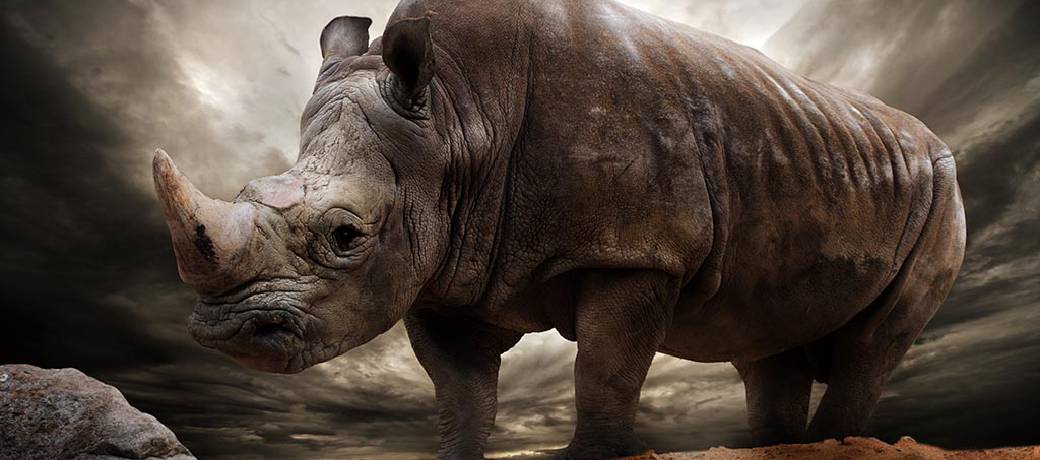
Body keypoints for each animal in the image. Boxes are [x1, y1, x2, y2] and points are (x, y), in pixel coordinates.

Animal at [152, 0, 966, 458]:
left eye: (346, 235)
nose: (226, 333)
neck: (457, 113)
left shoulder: (639, 249)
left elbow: (605, 367)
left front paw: (589, 455)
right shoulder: (442, 263)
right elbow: (461, 390)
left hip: (943, 188)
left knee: (872, 344)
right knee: (768, 341)